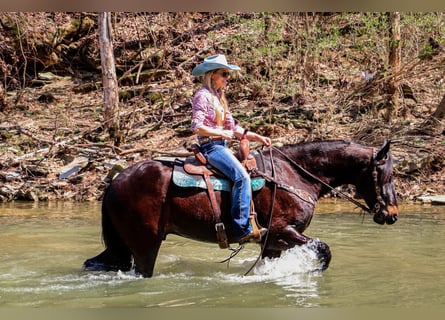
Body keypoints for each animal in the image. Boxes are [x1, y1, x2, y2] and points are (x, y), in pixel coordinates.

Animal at [83, 140, 398, 278]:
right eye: (388, 174)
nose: (392, 214)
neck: (296, 175)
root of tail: (116, 181)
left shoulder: (272, 243)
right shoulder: (282, 231)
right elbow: (324, 249)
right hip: (145, 245)